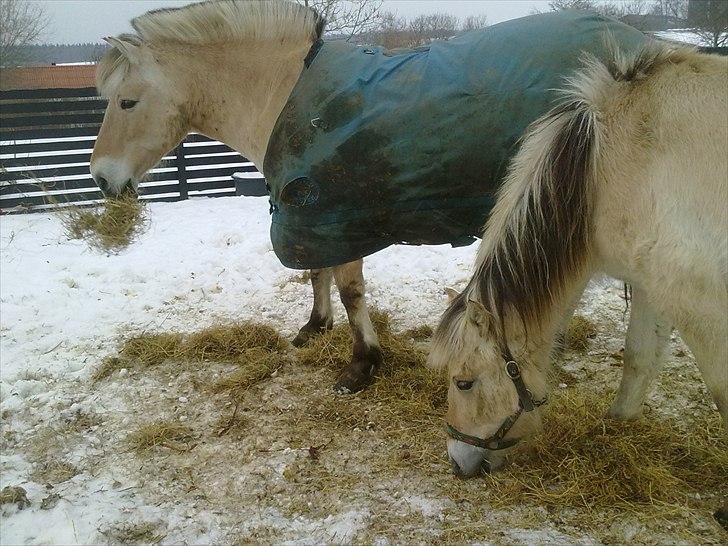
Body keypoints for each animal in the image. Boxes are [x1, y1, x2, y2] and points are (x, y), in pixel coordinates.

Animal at [89, 0, 648, 394]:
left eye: (127, 101)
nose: (100, 178)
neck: (286, 97)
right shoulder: (312, 213)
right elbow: (317, 274)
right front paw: (315, 326)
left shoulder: (339, 214)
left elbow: (351, 291)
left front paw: (361, 364)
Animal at [430, 43, 724, 476]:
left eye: (463, 382)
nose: (457, 462)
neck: (605, 170)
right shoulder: (651, 284)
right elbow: (638, 355)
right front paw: (618, 424)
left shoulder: (697, 301)